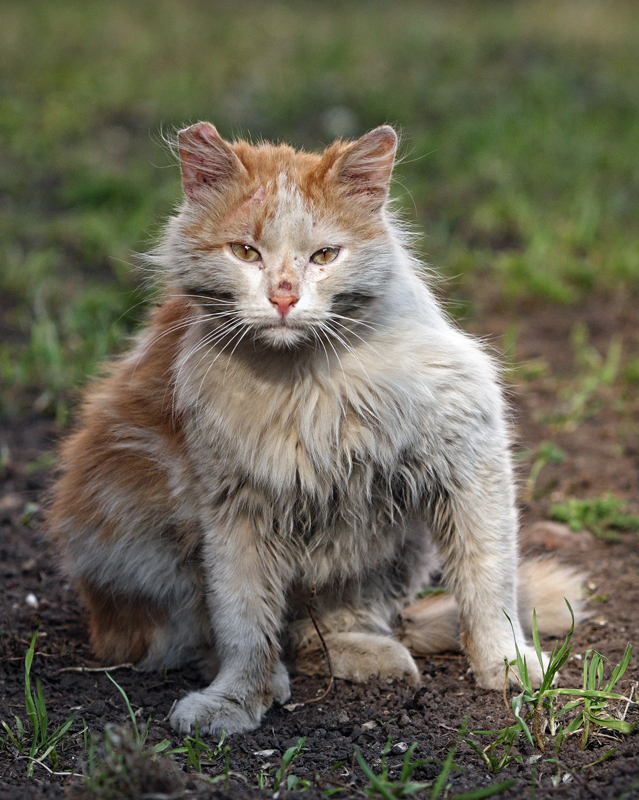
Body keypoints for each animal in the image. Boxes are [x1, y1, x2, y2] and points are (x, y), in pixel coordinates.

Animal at [47, 122, 584, 736]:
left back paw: (370, 655)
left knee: (323, 628)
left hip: (395, 545)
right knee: (214, 636)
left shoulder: (471, 457)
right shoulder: (233, 508)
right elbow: (242, 620)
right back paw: (277, 679)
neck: (306, 383)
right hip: (145, 550)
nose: (283, 295)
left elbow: (490, 581)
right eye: (245, 252)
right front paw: (237, 700)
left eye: (325, 255)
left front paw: (507, 664)